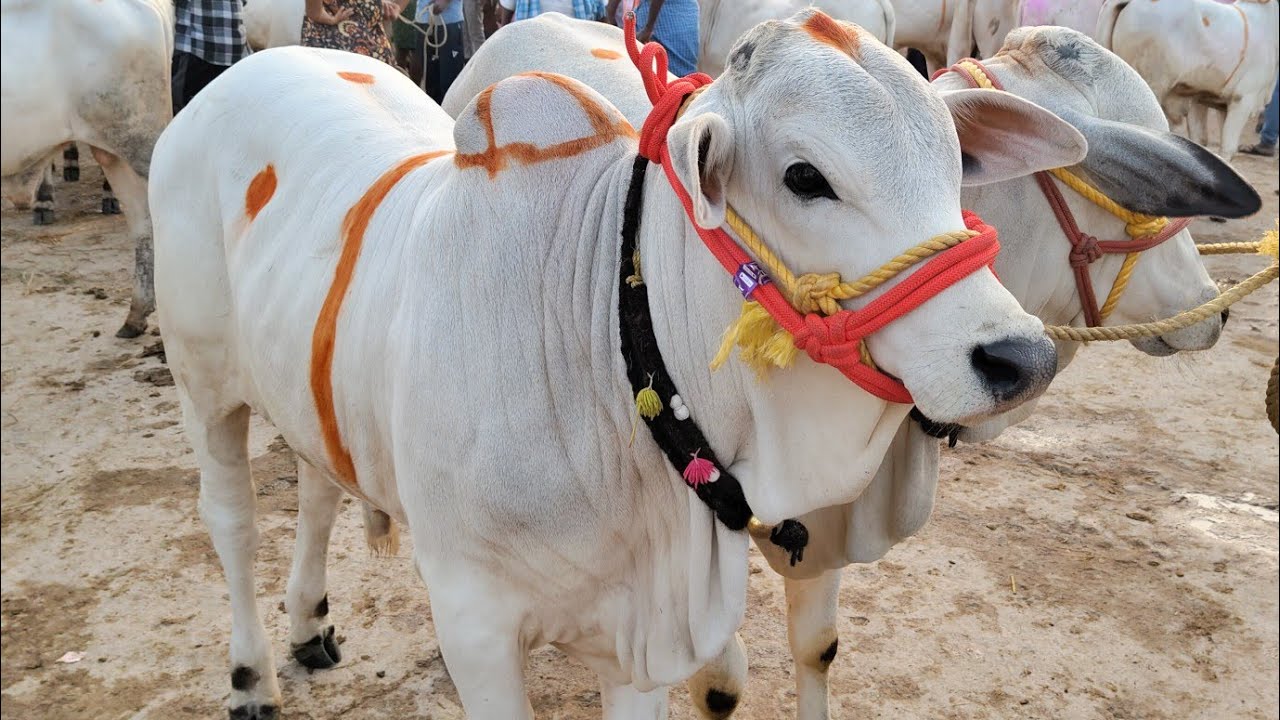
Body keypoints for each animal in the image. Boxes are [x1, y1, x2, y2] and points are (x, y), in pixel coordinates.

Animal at [151, 10, 1090, 718]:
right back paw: (252, 675)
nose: (1019, 355)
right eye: (805, 176)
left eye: (955, 165)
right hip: (204, 384)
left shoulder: (641, 641)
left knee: (317, 485)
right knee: (232, 524)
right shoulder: (475, 627)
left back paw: (309, 624)